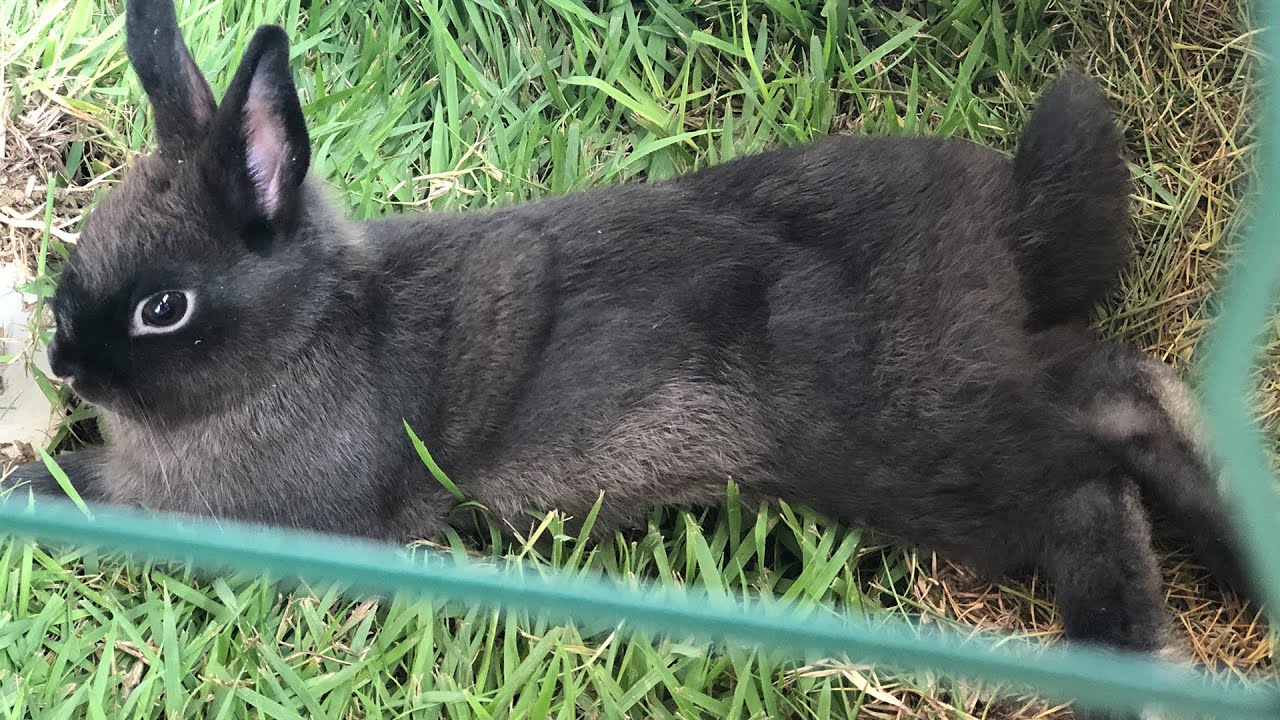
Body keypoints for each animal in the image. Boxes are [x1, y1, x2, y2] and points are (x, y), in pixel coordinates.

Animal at [1, 0, 1259, 707]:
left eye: (163, 308)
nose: (65, 364)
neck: (306, 334)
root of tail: (1008, 219)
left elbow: (81, 484)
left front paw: (24, 476)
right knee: (1124, 401)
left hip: (923, 447)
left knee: (1088, 470)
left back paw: (1132, 652)